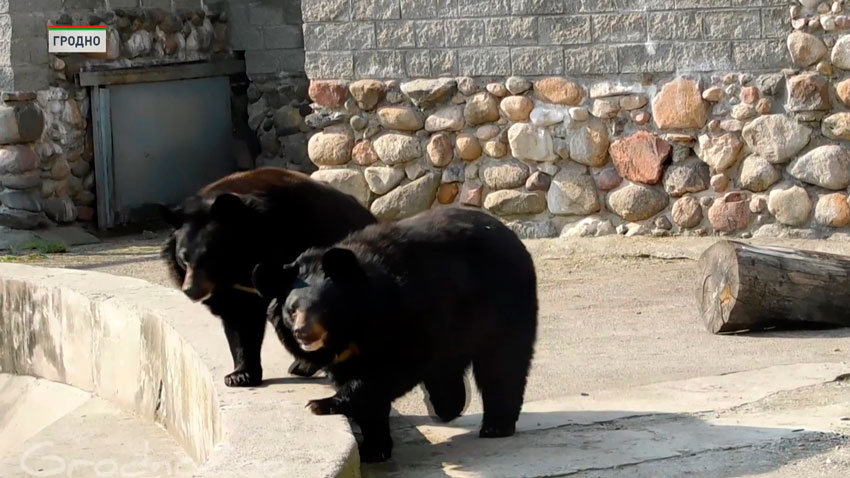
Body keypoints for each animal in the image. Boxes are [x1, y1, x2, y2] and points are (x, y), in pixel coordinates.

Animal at [161, 168, 378, 388]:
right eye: (183, 259)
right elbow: (240, 320)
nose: (191, 290)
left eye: (210, 258)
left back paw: (304, 365)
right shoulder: (233, 290)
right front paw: (240, 375)